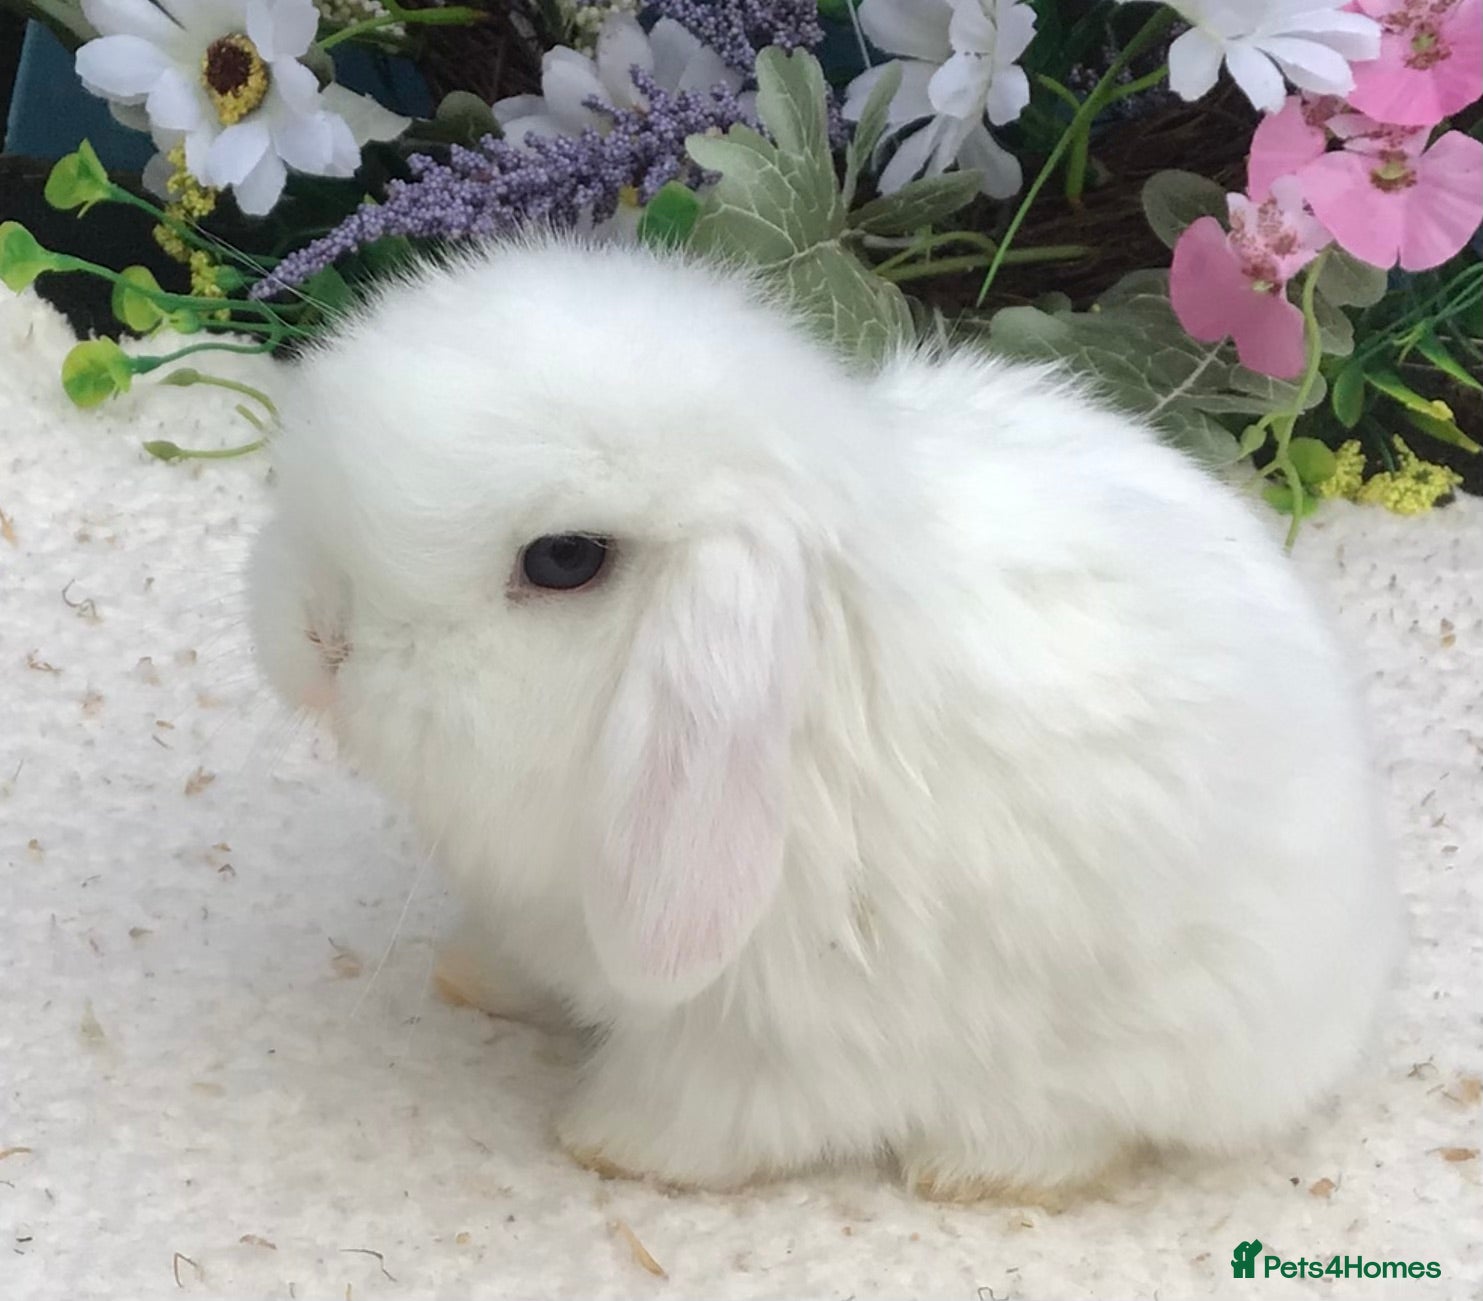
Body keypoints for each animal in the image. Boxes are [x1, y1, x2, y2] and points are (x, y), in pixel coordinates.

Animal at [248, 235, 1401, 1201]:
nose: (319, 638)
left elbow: (715, 1109)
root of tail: (1349, 964)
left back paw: (972, 1169)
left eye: (564, 559)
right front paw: (469, 975)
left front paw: (611, 1144)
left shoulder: (769, 1030)